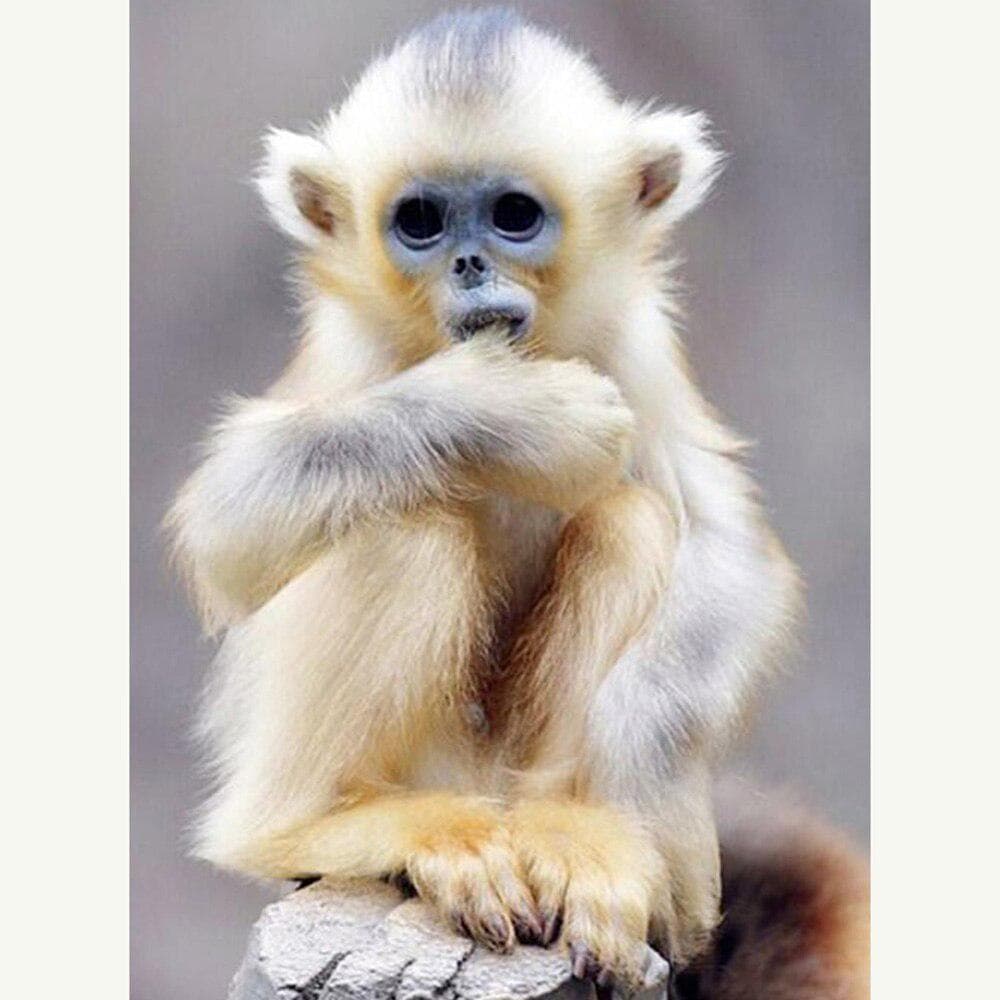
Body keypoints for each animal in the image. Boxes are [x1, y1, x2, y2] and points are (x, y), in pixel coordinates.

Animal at [166, 9, 850, 995]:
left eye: (514, 215)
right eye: (418, 221)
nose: (468, 262)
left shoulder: (635, 337)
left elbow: (729, 544)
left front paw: (638, 787)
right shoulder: (355, 345)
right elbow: (229, 521)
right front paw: (509, 411)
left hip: (509, 774)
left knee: (630, 520)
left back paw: (577, 833)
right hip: (417, 759)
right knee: (405, 521)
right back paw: (328, 825)